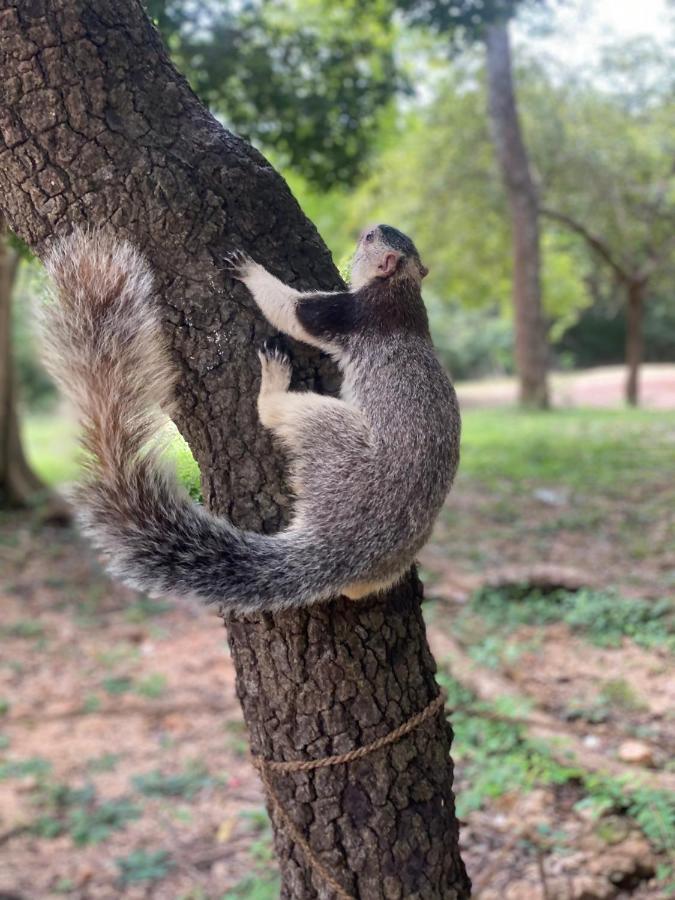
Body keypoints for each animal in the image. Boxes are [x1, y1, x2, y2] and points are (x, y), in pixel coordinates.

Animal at [42, 223, 462, 612]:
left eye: (373, 238)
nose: (366, 228)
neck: (403, 288)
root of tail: (345, 546)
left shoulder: (344, 314)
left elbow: (290, 311)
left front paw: (248, 268)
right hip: (384, 567)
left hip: (334, 437)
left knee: (278, 413)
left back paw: (273, 383)